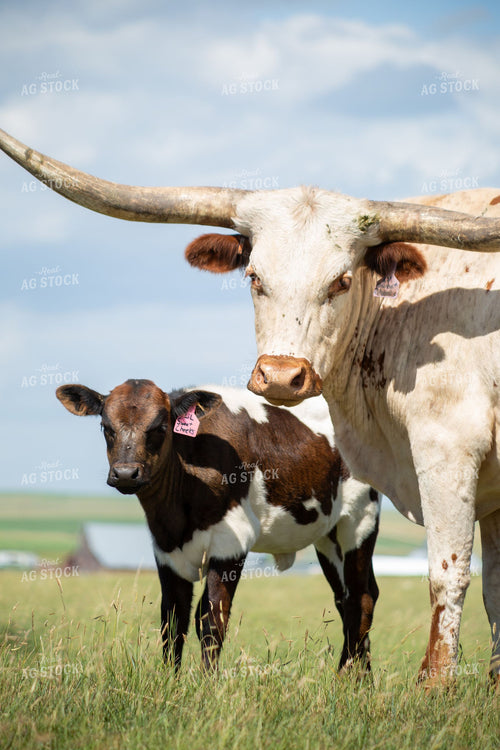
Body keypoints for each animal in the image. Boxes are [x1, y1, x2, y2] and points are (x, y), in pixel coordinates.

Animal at [56, 380, 380, 672]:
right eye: (105, 427)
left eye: (160, 427)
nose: (125, 473)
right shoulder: (166, 550)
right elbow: (172, 620)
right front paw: (169, 682)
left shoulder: (230, 542)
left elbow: (212, 618)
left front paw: (206, 684)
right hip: (328, 538)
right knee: (348, 598)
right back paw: (363, 681)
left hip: (359, 522)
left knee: (360, 599)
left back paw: (346, 681)